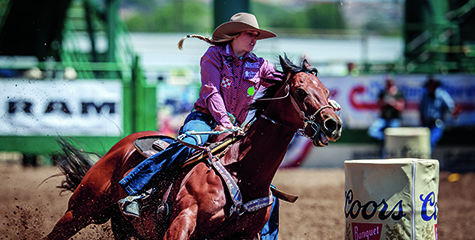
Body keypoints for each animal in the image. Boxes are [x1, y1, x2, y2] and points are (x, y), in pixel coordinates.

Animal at [44, 55, 342, 239]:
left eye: (327, 92)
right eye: (301, 91)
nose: (333, 124)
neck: (243, 173)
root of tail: (121, 147)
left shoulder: (248, 234)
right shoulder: (181, 223)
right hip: (79, 211)